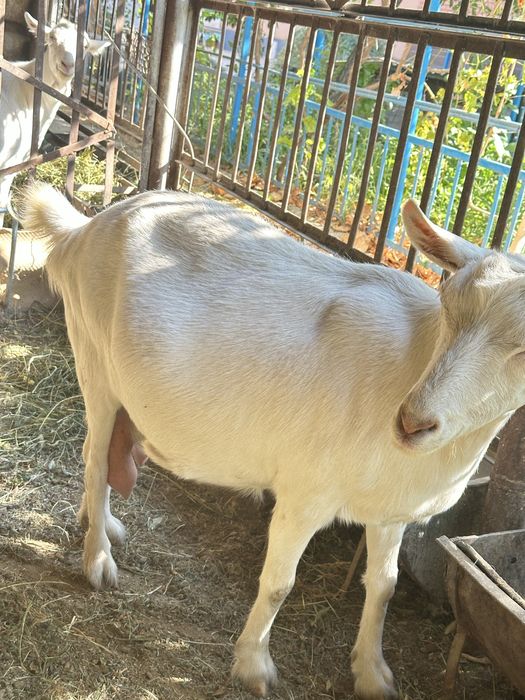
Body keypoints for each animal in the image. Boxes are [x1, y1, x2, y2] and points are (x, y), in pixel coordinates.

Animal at [21, 184, 525, 699]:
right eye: (447, 309)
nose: (412, 422)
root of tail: (85, 229)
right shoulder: (306, 493)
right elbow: (281, 582)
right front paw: (254, 665)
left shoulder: (390, 511)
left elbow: (384, 585)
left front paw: (373, 673)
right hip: (93, 357)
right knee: (96, 462)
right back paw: (98, 559)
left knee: (97, 454)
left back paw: (99, 521)